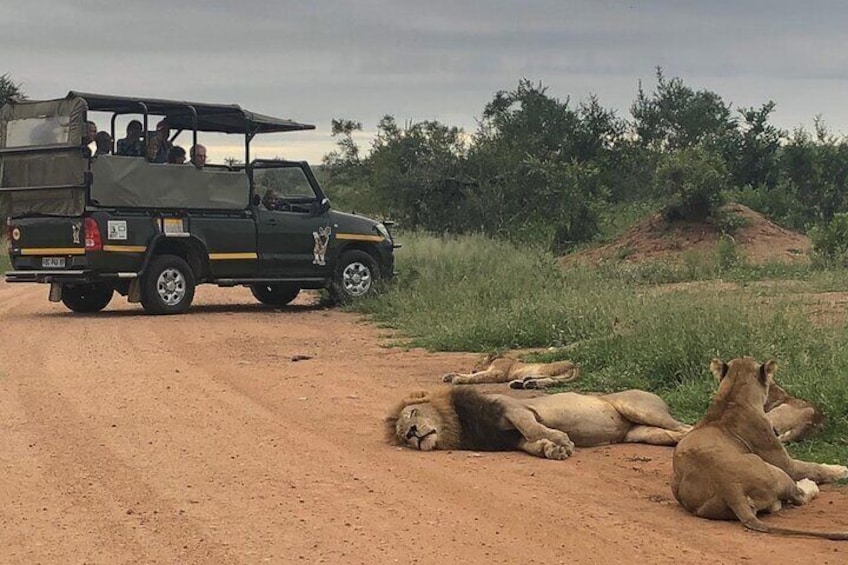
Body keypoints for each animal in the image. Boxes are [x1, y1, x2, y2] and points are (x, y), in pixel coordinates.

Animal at [440, 352, 580, 388]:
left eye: (479, 362)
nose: (472, 369)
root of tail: (574, 364)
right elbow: (472, 375)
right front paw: (449, 376)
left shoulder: (498, 373)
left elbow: (478, 376)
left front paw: (458, 379)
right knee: (553, 381)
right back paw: (523, 383)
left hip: (543, 369)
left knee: (551, 379)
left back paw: (526, 381)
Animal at [668, 360, 848, 540]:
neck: (730, 399)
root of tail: (730, 488)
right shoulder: (786, 464)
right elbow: (814, 468)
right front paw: (841, 470)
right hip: (776, 470)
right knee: (799, 496)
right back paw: (807, 484)